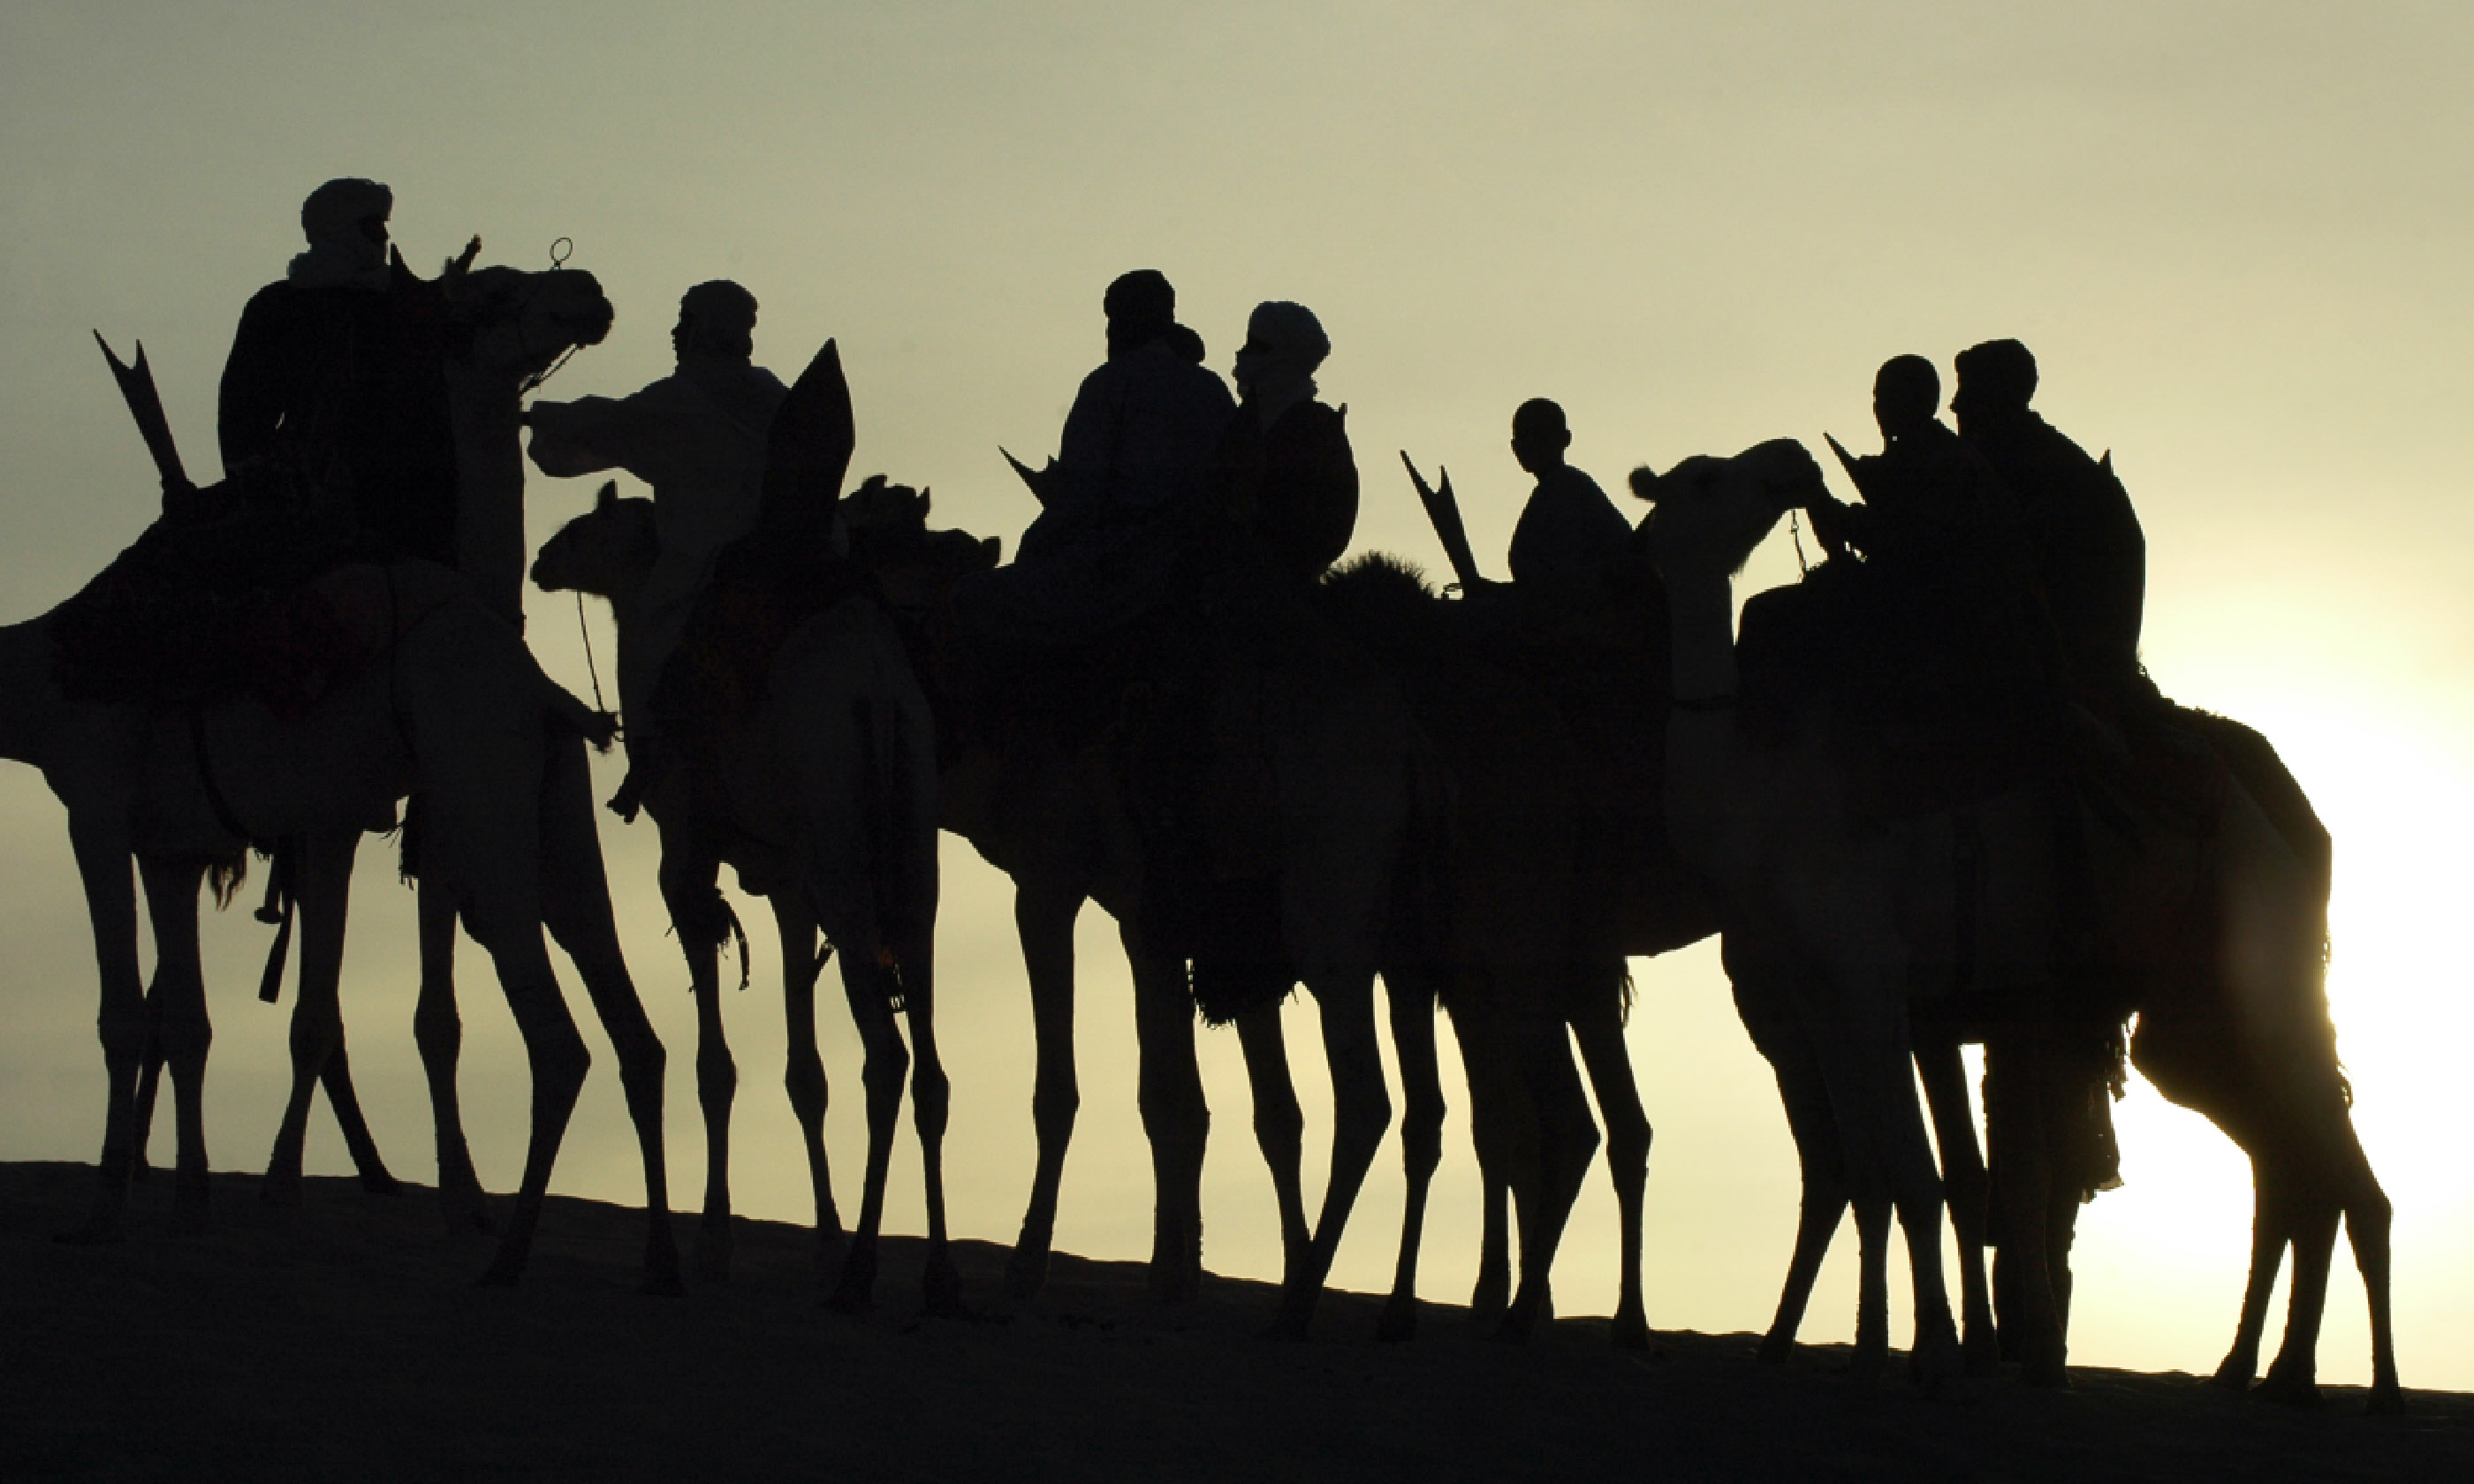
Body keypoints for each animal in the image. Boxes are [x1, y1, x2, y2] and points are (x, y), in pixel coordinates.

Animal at [532, 487, 945, 1306]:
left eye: (584, 527)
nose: (541, 560)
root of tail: (879, 697)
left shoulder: (686, 860)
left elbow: (715, 1068)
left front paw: (713, 1249)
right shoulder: (789, 889)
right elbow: (805, 1074)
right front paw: (819, 1243)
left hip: (843, 862)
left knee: (887, 1058)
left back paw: (861, 1275)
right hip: (914, 862)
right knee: (932, 1071)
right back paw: (938, 1279)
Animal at [1643, 440, 2394, 1414]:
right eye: (1702, 479)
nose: (1787, 461)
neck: (1763, 797)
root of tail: (2282, 823)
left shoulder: (1872, 971)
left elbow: (1917, 1175)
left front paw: (1930, 1355)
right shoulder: (1820, 991)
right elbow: (1878, 1176)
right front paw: (1872, 1352)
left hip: (2261, 967)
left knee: (2329, 1163)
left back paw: (2359, 1385)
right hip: (2193, 1009)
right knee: (2296, 1162)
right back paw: (2266, 1373)